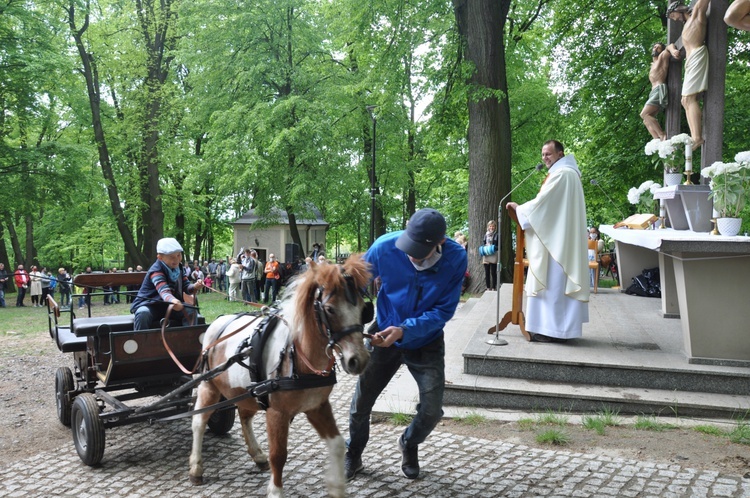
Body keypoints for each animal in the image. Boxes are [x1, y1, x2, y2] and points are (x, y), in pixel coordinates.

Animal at [191, 255, 374, 496]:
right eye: (330, 309)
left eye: (364, 308)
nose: (358, 360)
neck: (298, 357)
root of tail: (217, 323)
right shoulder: (277, 413)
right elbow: (278, 455)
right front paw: (276, 490)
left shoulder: (316, 406)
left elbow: (336, 444)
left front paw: (337, 487)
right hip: (209, 386)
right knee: (199, 421)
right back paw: (196, 468)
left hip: (244, 393)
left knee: (244, 416)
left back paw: (257, 456)